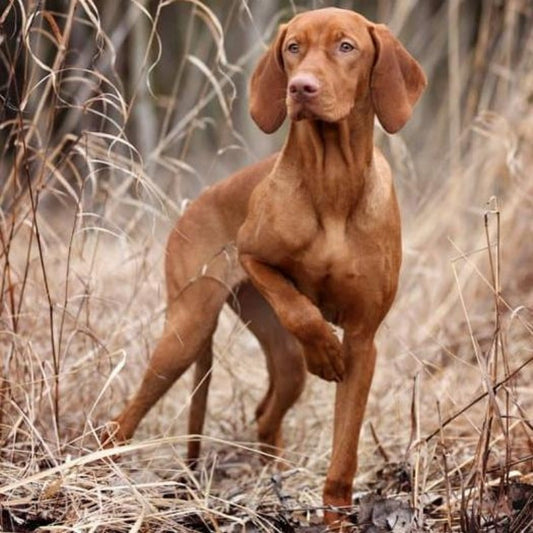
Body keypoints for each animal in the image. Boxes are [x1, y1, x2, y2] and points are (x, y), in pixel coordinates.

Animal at [106, 8, 426, 528]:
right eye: (294, 48)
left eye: (346, 47)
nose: (301, 87)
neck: (332, 180)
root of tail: (191, 208)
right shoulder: (253, 257)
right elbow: (300, 308)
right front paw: (325, 349)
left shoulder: (363, 341)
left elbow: (344, 453)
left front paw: (336, 518)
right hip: (187, 330)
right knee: (120, 422)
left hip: (281, 361)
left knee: (264, 416)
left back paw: (276, 483)